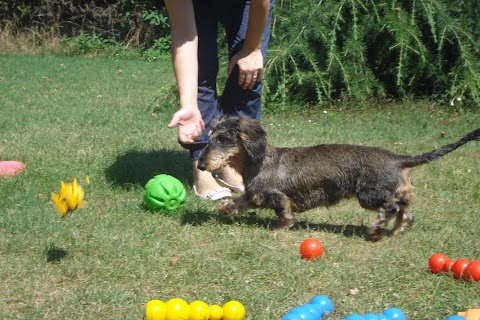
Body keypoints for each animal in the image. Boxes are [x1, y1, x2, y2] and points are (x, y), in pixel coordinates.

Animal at [196, 115, 480, 240]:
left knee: (392, 207)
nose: (200, 164)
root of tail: (397, 158)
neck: (260, 161)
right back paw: (396, 229)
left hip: (369, 195)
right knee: (406, 211)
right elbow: (240, 201)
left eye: (223, 139)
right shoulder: (255, 195)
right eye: (210, 137)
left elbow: (283, 211)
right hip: (392, 192)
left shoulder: (275, 196)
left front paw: (282, 227)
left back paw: (377, 229)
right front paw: (226, 208)